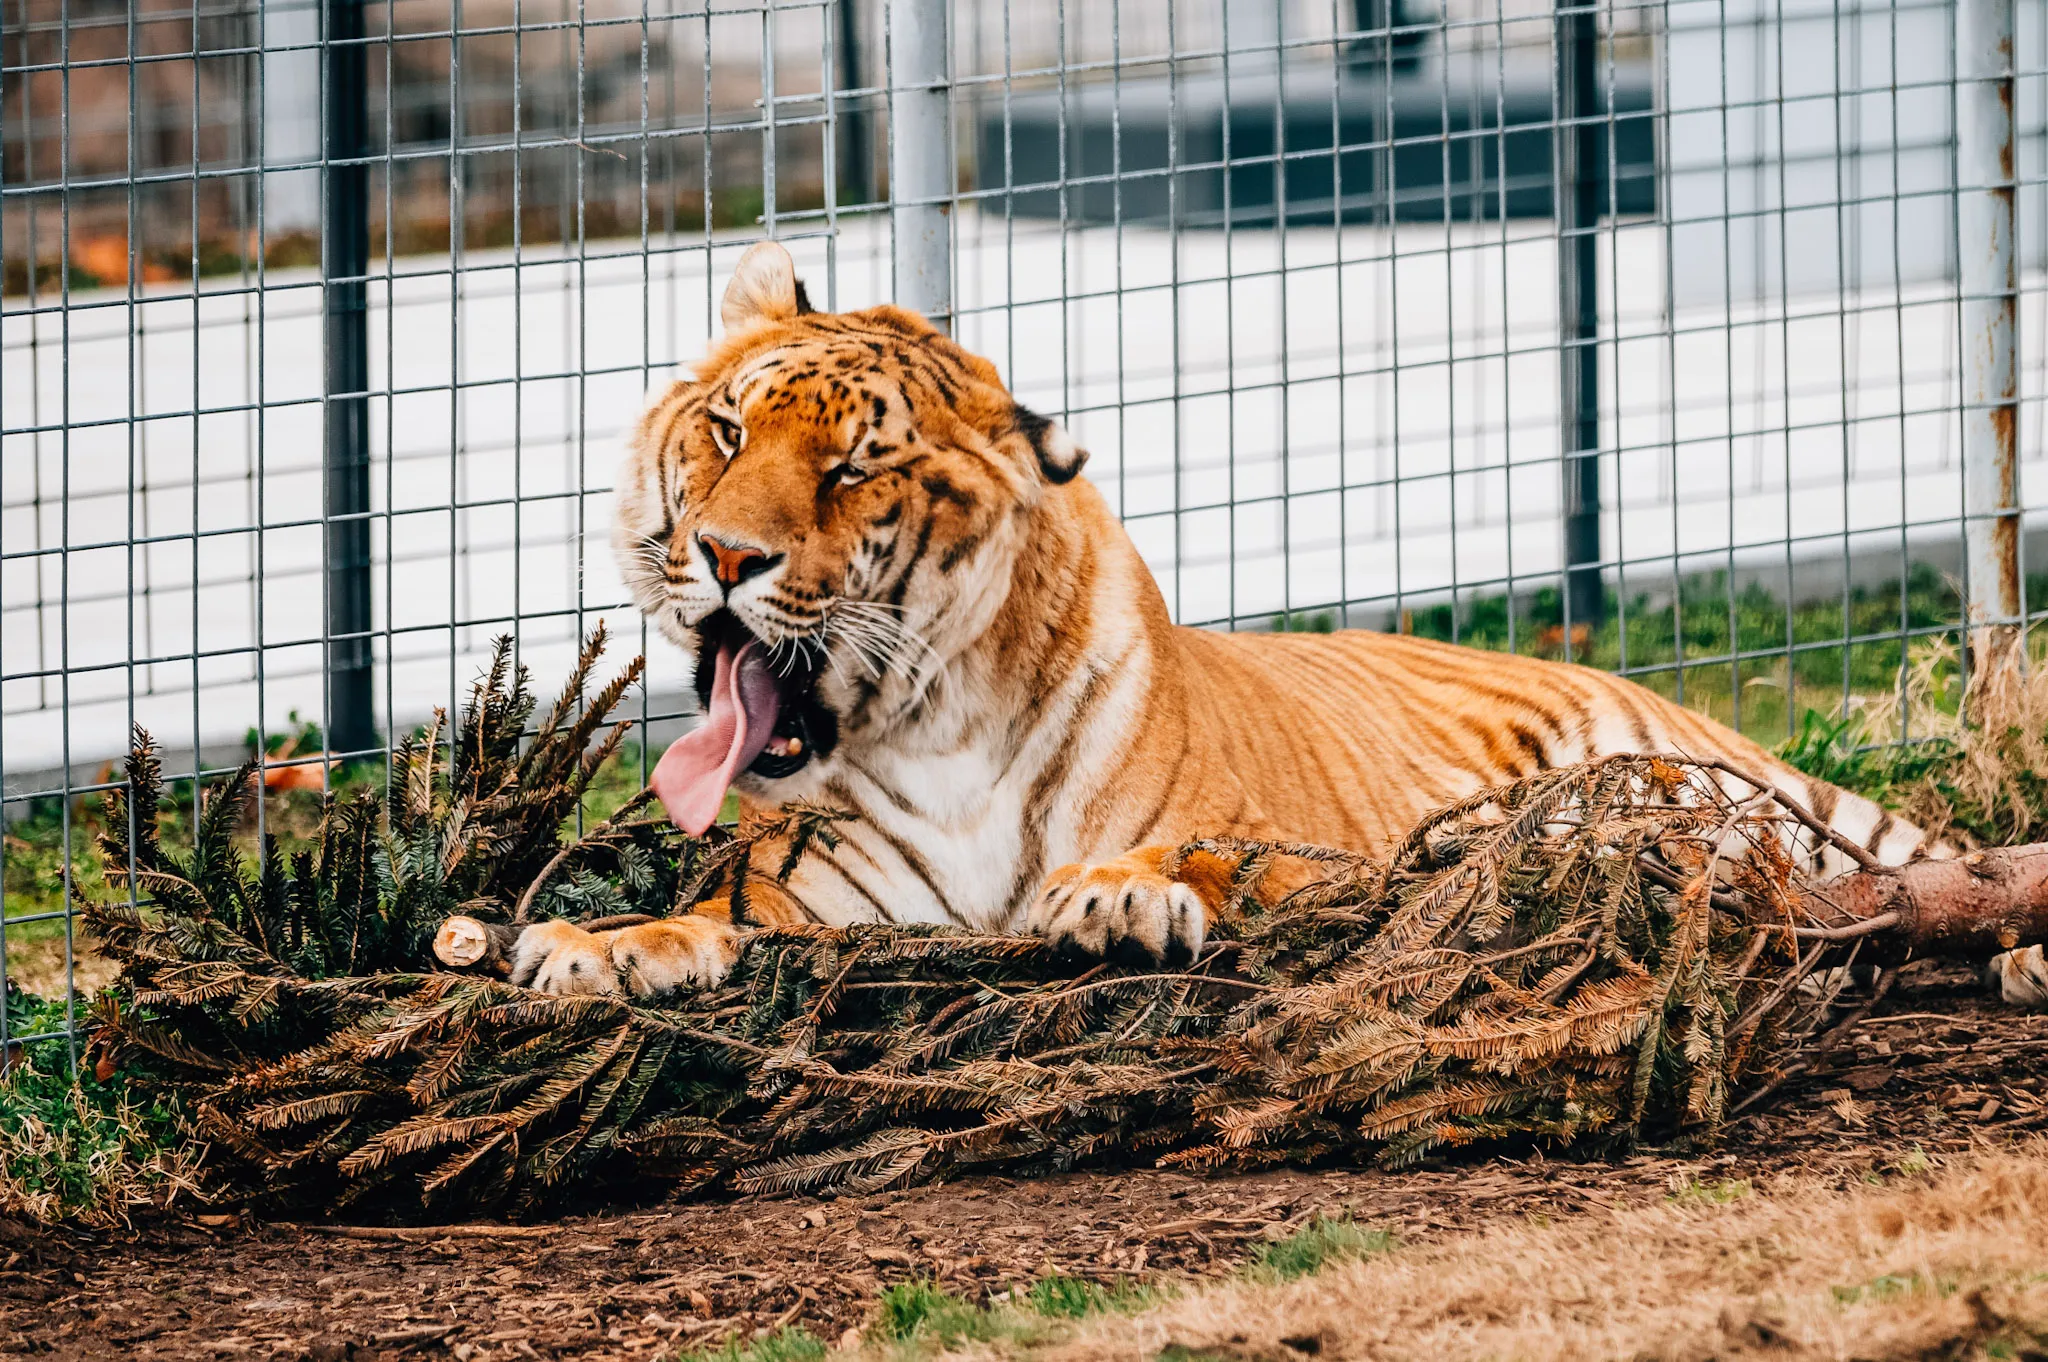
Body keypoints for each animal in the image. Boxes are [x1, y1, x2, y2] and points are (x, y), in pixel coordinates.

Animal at [509, 240, 2048, 1009]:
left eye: (850, 470)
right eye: (725, 432)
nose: (722, 555)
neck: (936, 732)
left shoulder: (1311, 857)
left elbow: (1209, 855)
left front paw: (1115, 895)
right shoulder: (825, 901)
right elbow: (705, 914)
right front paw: (590, 949)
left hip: (1771, 800)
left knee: (1942, 867)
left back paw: (2017, 948)